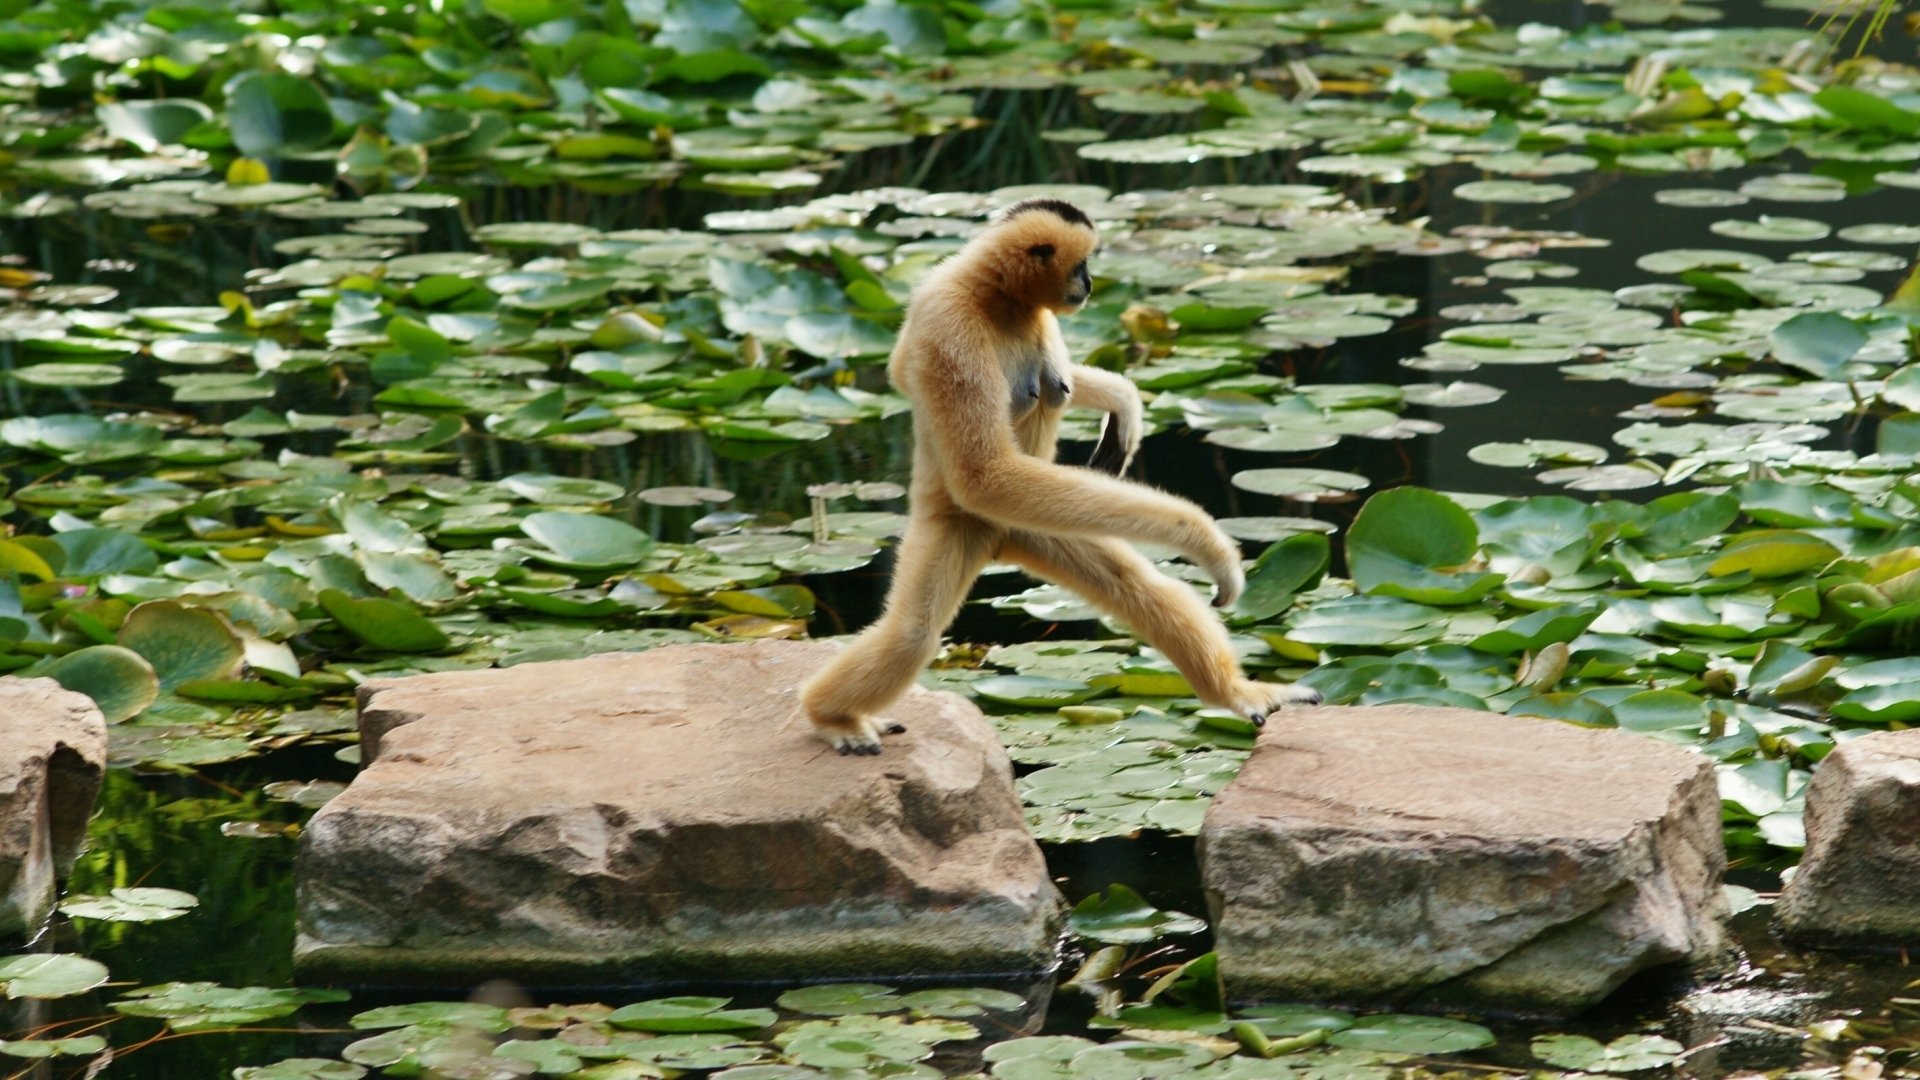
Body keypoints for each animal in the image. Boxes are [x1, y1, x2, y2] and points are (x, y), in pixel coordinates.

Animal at [799, 199, 1321, 755]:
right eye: (1081, 265)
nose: (1089, 283)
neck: (998, 298)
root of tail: (999, 541)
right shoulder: (947, 322)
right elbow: (986, 474)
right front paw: (1202, 537)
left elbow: (1066, 384)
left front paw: (1122, 400)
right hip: (962, 519)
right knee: (912, 634)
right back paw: (832, 716)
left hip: (1041, 521)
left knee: (1138, 584)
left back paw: (1238, 693)